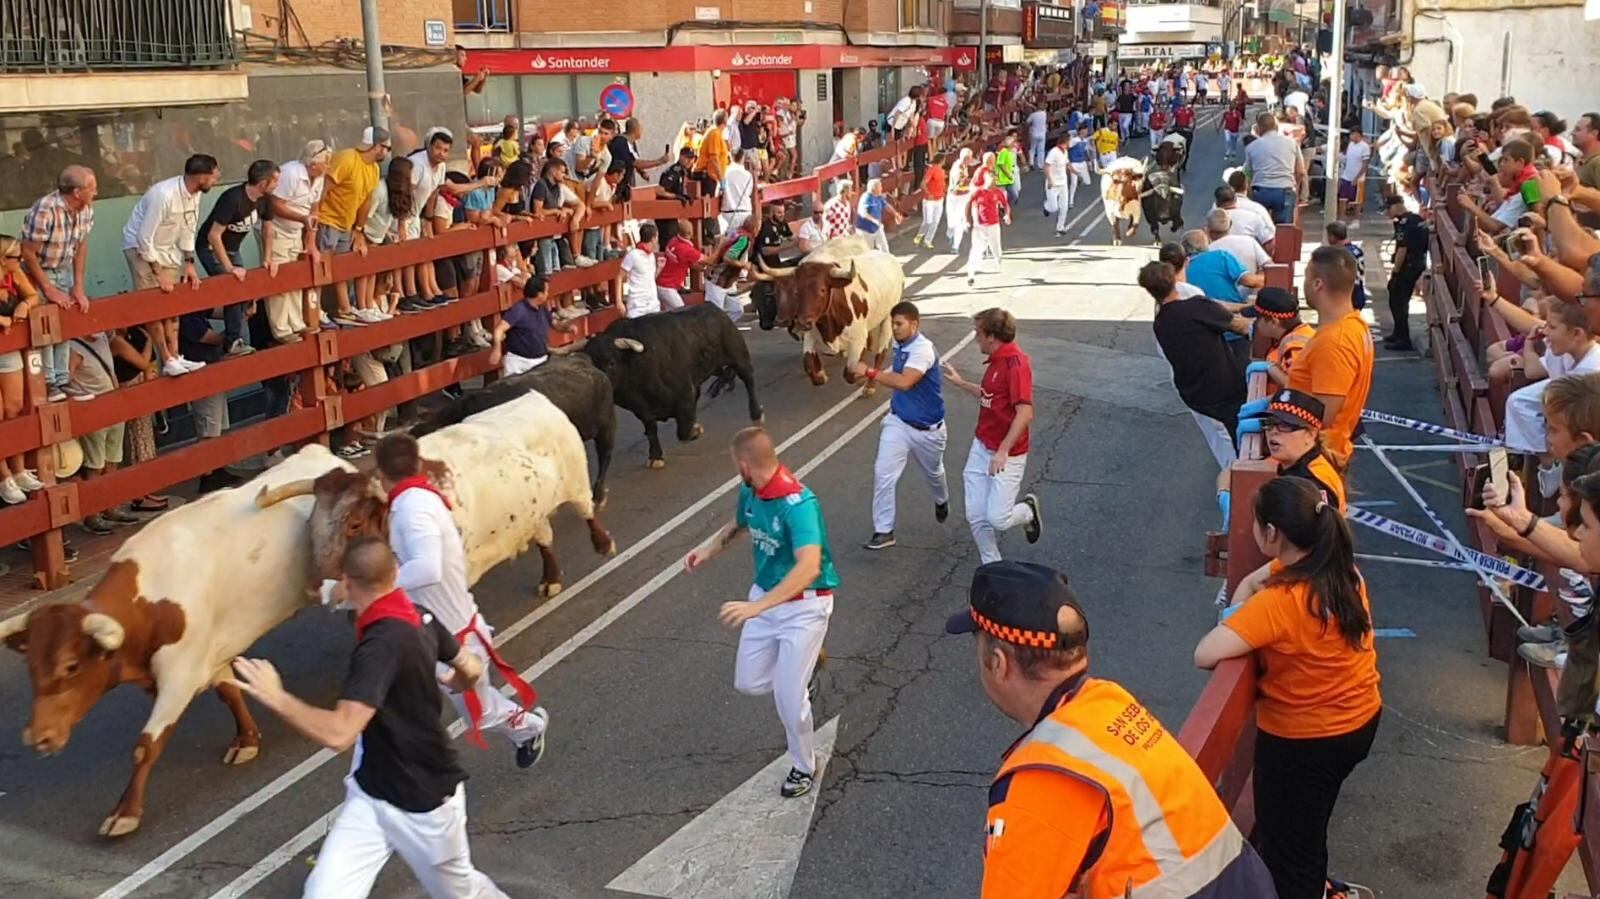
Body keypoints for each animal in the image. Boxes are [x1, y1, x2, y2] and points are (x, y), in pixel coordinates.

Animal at [0, 444, 356, 838]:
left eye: (71, 666)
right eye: (31, 667)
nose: (39, 737)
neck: (149, 596)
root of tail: (322, 455)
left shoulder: (179, 676)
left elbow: (146, 744)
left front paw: (125, 813)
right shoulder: (208, 658)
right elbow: (229, 693)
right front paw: (247, 740)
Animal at [259, 388, 614, 598]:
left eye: (355, 524)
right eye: (310, 525)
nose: (315, 588)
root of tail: (534, 397)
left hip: (577, 481)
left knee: (588, 512)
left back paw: (603, 544)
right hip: (533, 509)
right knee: (545, 537)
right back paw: (550, 578)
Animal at [585, 302, 764, 470]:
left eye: (610, 362)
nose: (596, 385)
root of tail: (714, 308)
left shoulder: (685, 394)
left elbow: (683, 430)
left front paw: (696, 428)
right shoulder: (643, 411)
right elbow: (651, 431)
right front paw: (656, 457)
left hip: (738, 355)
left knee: (749, 379)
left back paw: (756, 414)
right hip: (713, 365)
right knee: (725, 373)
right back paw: (719, 386)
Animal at [748, 231, 902, 390]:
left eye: (822, 290)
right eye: (797, 291)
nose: (780, 320)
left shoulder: (857, 340)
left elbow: (850, 372)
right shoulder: (810, 334)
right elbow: (809, 364)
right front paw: (820, 374)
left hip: (888, 318)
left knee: (881, 352)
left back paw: (870, 385)